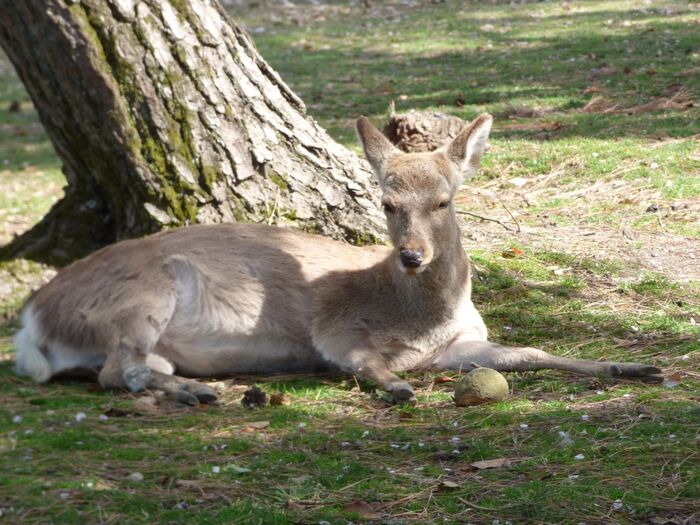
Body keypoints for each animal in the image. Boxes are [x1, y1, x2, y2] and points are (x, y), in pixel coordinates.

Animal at [14, 114, 663, 405]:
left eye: (445, 200)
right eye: (386, 201)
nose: (411, 255)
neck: (423, 321)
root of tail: (30, 321)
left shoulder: (458, 345)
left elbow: (533, 352)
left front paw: (636, 368)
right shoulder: (335, 327)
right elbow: (358, 359)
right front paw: (396, 387)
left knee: (125, 367)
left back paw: (200, 386)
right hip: (140, 296)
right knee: (114, 370)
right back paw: (198, 394)